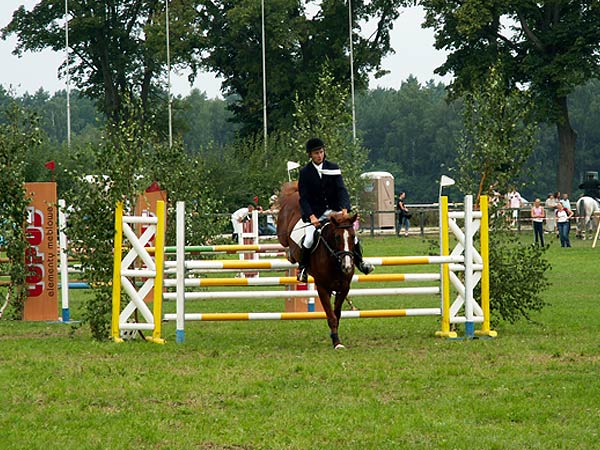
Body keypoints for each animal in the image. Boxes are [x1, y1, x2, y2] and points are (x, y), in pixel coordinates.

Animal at [276, 180, 356, 348]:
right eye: (337, 237)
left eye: (353, 237)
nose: (347, 267)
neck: (334, 260)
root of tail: (295, 194)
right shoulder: (323, 288)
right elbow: (331, 316)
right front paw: (336, 342)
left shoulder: (344, 287)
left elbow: (336, 314)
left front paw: (335, 337)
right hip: (283, 234)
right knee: (286, 245)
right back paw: (292, 257)